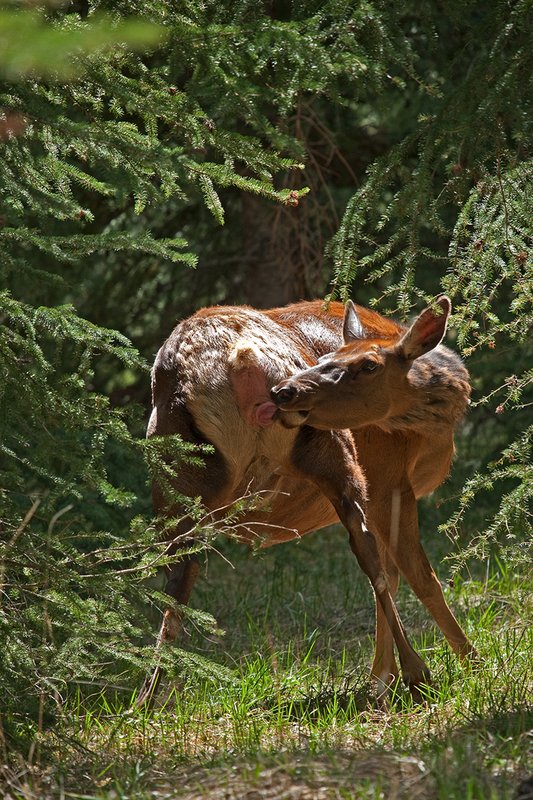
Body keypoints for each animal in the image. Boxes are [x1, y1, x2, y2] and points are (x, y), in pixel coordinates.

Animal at [138, 296, 474, 707]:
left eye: (366, 365)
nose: (289, 390)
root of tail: (237, 357)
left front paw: (382, 678)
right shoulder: (388, 478)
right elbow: (417, 576)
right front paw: (467, 663)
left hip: (175, 474)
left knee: (177, 580)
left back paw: (145, 699)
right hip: (332, 447)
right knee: (371, 559)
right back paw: (416, 672)